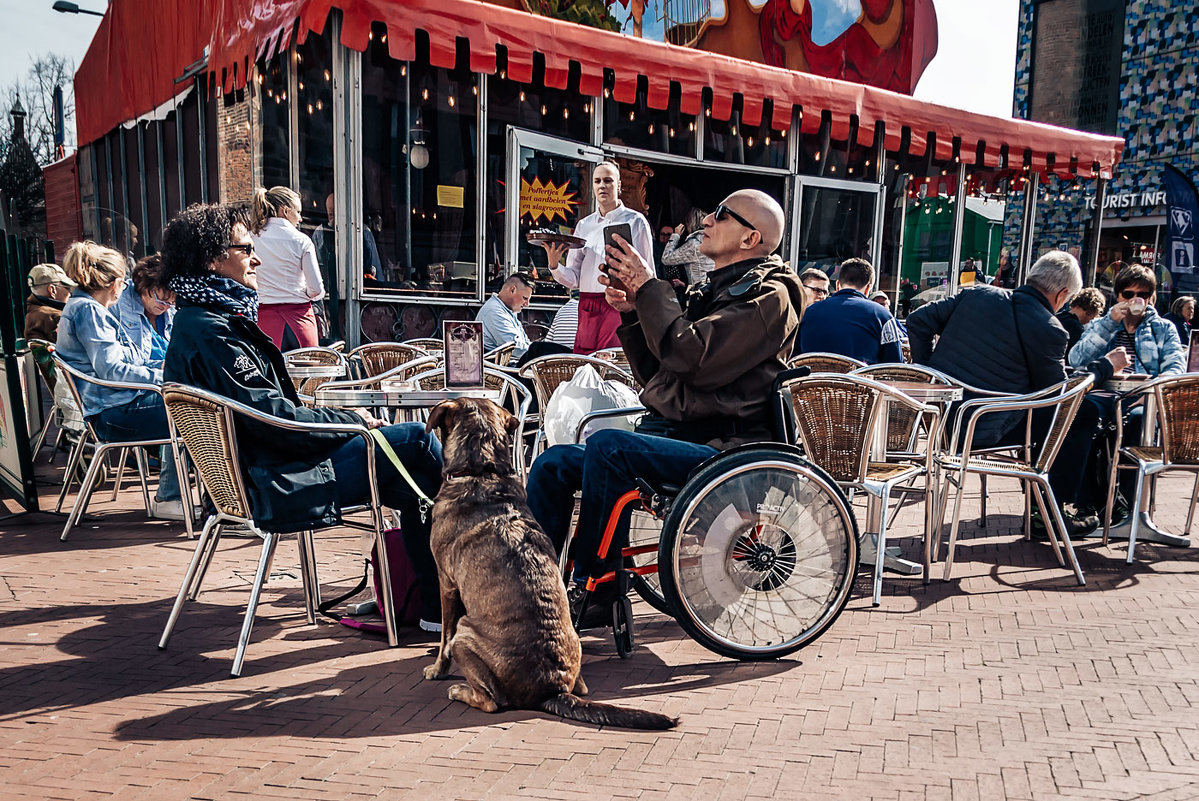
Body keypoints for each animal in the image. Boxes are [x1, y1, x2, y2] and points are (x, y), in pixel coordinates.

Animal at [424, 398, 676, 729]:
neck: (482, 470)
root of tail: (552, 690)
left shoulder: (446, 584)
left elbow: (444, 637)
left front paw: (437, 669)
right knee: (582, 687)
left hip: (466, 633)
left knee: (489, 701)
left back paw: (458, 689)